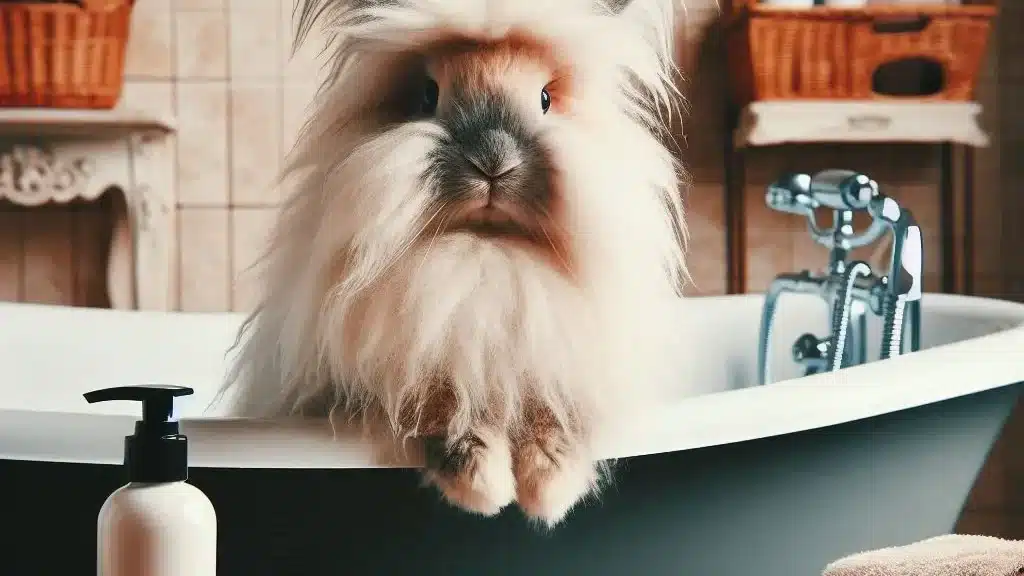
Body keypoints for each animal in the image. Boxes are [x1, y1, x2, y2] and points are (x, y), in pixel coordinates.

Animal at [223, 0, 688, 524]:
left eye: (546, 98)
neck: (483, 258)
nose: (493, 161)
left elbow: (554, 414)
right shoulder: (398, 368)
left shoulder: (562, 362)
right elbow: (440, 404)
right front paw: (482, 486)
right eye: (428, 95)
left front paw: (550, 489)